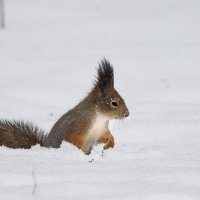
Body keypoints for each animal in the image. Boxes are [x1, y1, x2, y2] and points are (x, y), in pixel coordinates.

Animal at [0, 59, 129, 155]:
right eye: (114, 103)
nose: (127, 114)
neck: (99, 118)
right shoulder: (78, 126)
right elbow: (74, 140)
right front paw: (80, 152)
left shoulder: (100, 131)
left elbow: (104, 137)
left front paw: (110, 142)